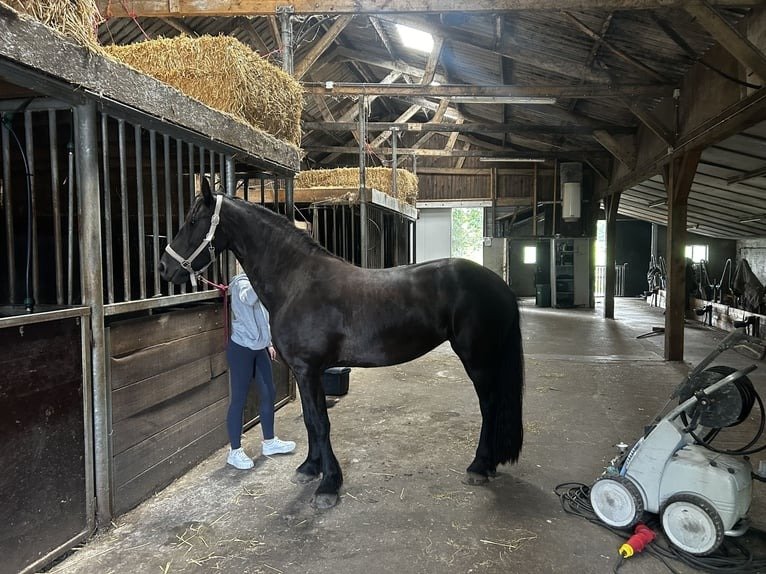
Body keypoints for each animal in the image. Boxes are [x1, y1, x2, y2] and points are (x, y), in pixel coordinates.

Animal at [159, 179, 524, 509]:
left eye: (192, 221)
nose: (165, 267)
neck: (297, 282)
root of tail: (499, 285)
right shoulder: (304, 372)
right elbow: (310, 420)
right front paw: (310, 469)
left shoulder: (308, 369)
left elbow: (321, 423)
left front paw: (328, 485)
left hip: (477, 360)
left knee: (490, 405)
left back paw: (480, 466)